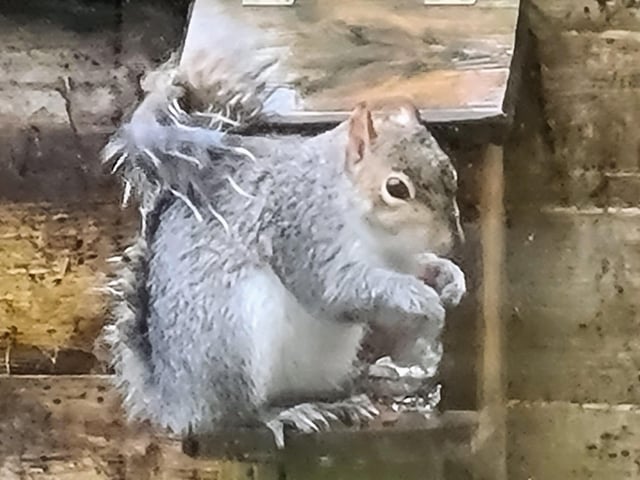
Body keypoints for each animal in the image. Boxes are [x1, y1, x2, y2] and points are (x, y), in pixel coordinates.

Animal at [98, 52, 466, 449]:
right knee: (239, 414)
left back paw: (342, 401)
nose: (451, 241)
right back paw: (285, 413)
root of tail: (176, 399)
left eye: (451, 172)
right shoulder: (303, 228)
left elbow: (416, 268)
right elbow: (336, 289)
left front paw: (449, 276)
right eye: (396, 188)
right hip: (233, 343)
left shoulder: (396, 257)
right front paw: (424, 300)